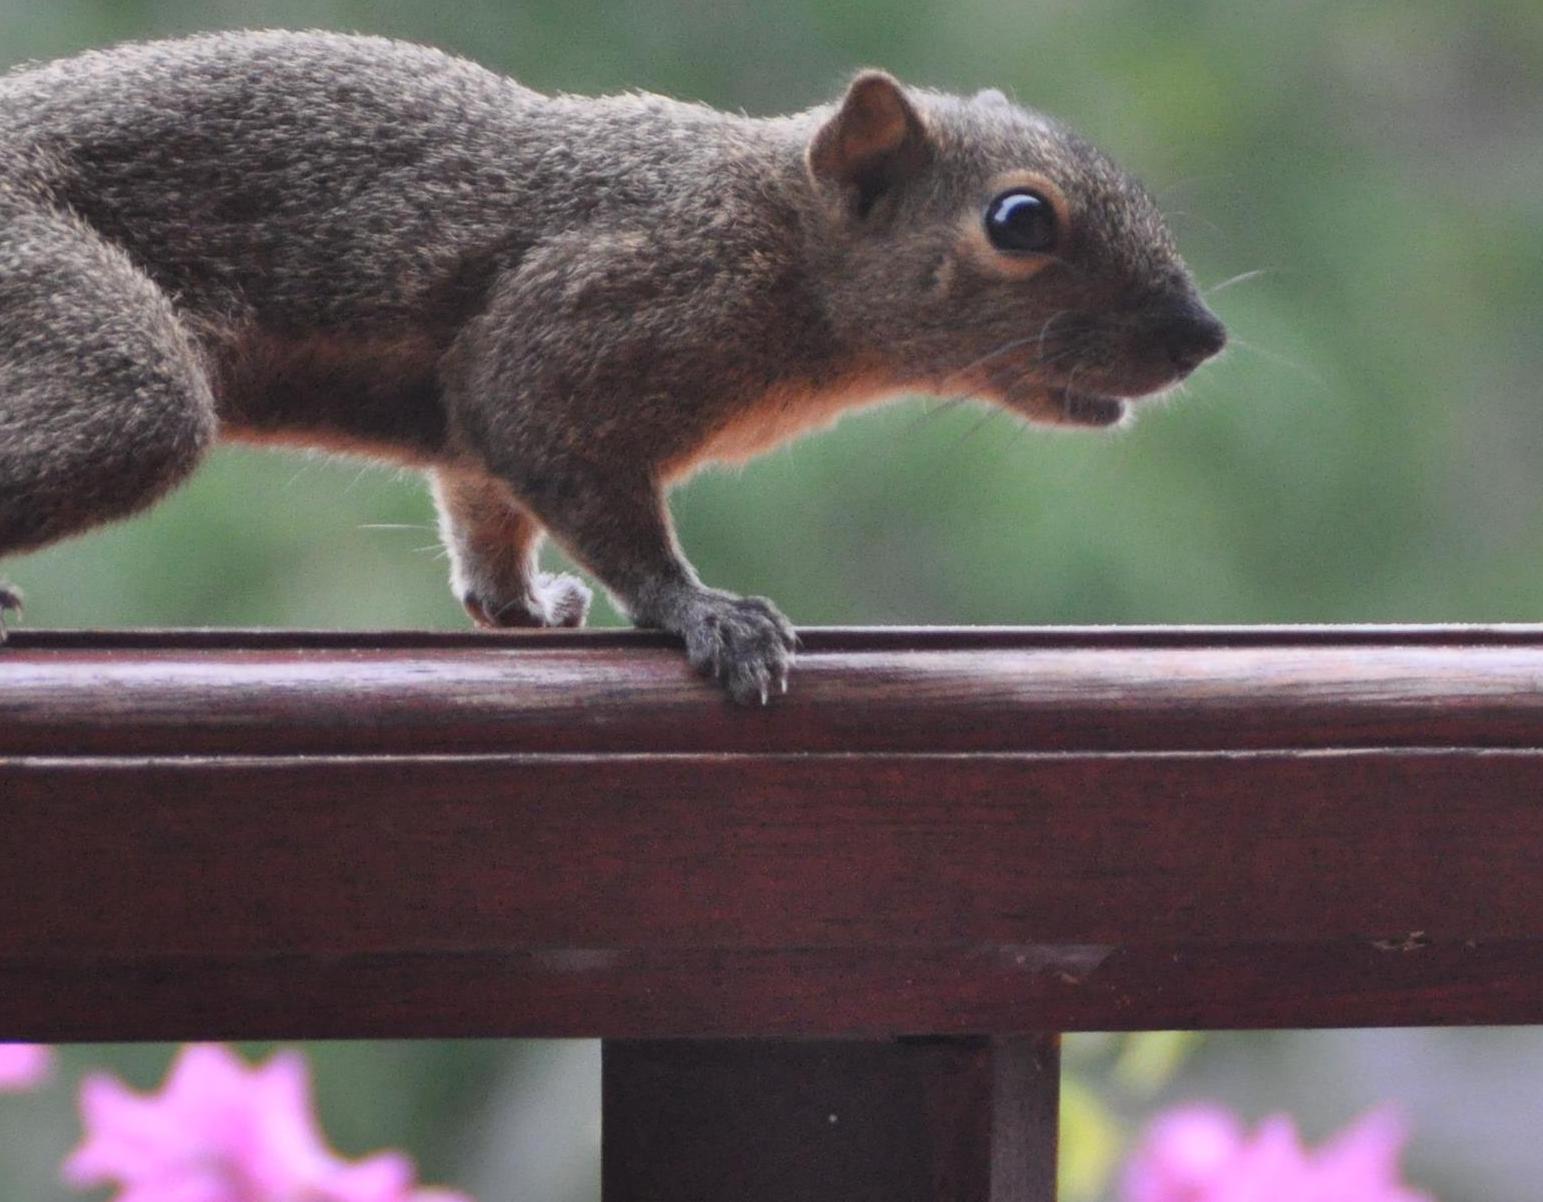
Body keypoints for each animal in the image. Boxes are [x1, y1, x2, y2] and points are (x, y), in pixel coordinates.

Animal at [3, 30, 1228, 706]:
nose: (1201, 337)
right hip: (93, 354)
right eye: (1019, 220)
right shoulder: (590, 316)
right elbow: (577, 477)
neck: (781, 240)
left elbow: (486, 502)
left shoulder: (477, 429)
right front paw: (704, 615)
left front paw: (515, 602)